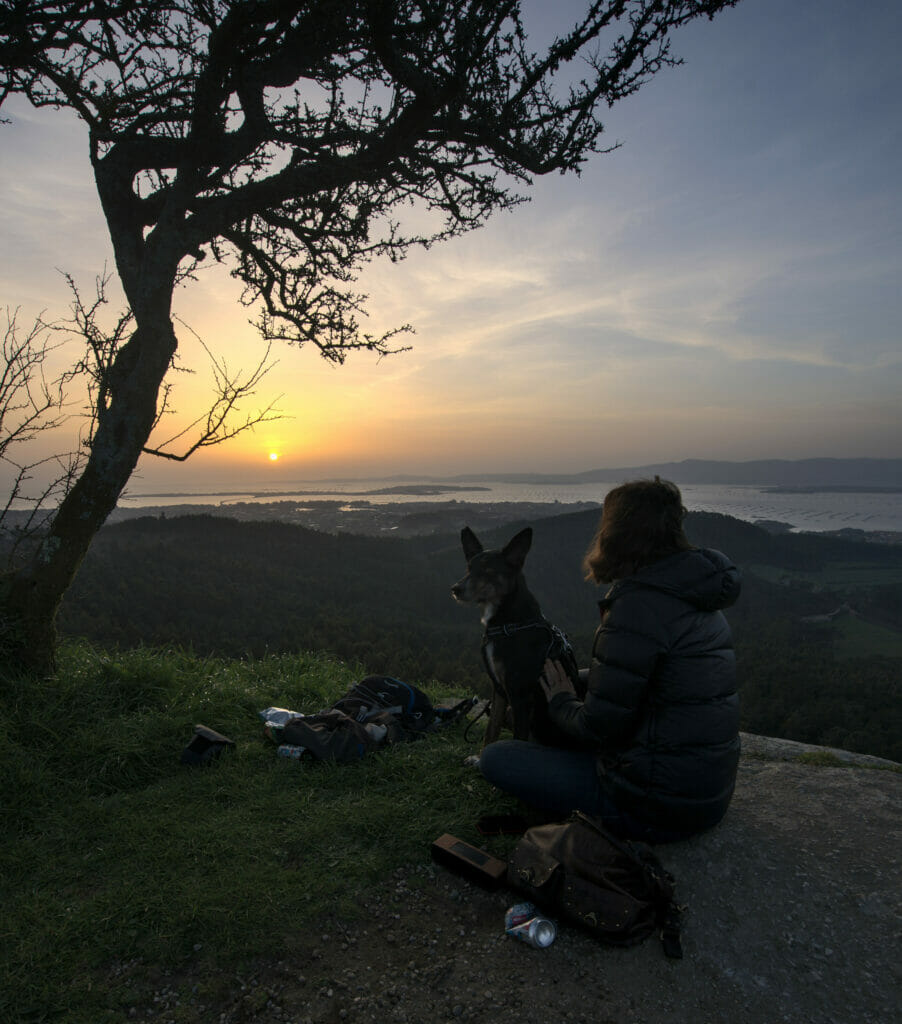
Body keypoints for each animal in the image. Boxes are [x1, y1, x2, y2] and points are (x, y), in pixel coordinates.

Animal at [450, 528, 585, 753]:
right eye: (468, 568)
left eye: (488, 570)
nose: (455, 589)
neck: (509, 625)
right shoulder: (499, 690)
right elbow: (491, 731)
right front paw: (480, 756)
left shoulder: (520, 696)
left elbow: (516, 738)